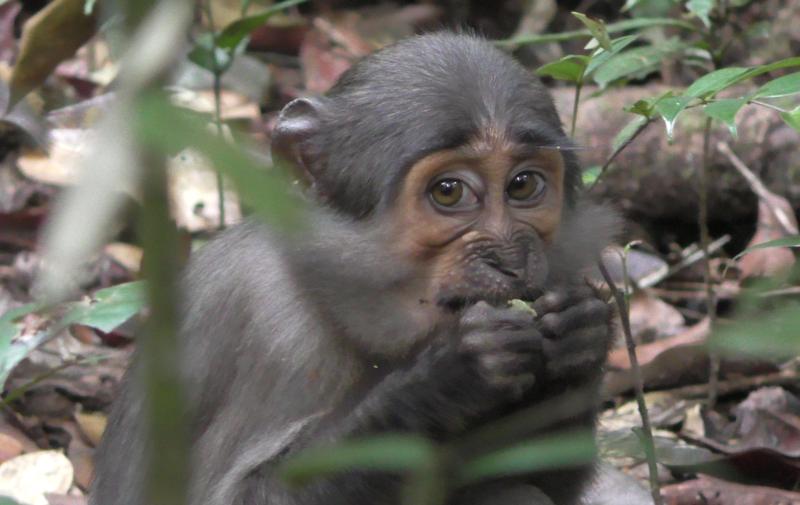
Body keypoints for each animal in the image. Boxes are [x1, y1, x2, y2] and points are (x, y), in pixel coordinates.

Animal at [89, 32, 620, 504]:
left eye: (524, 185)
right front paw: (446, 374)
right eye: (449, 191)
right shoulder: (273, 330)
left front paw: (581, 333)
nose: (510, 260)